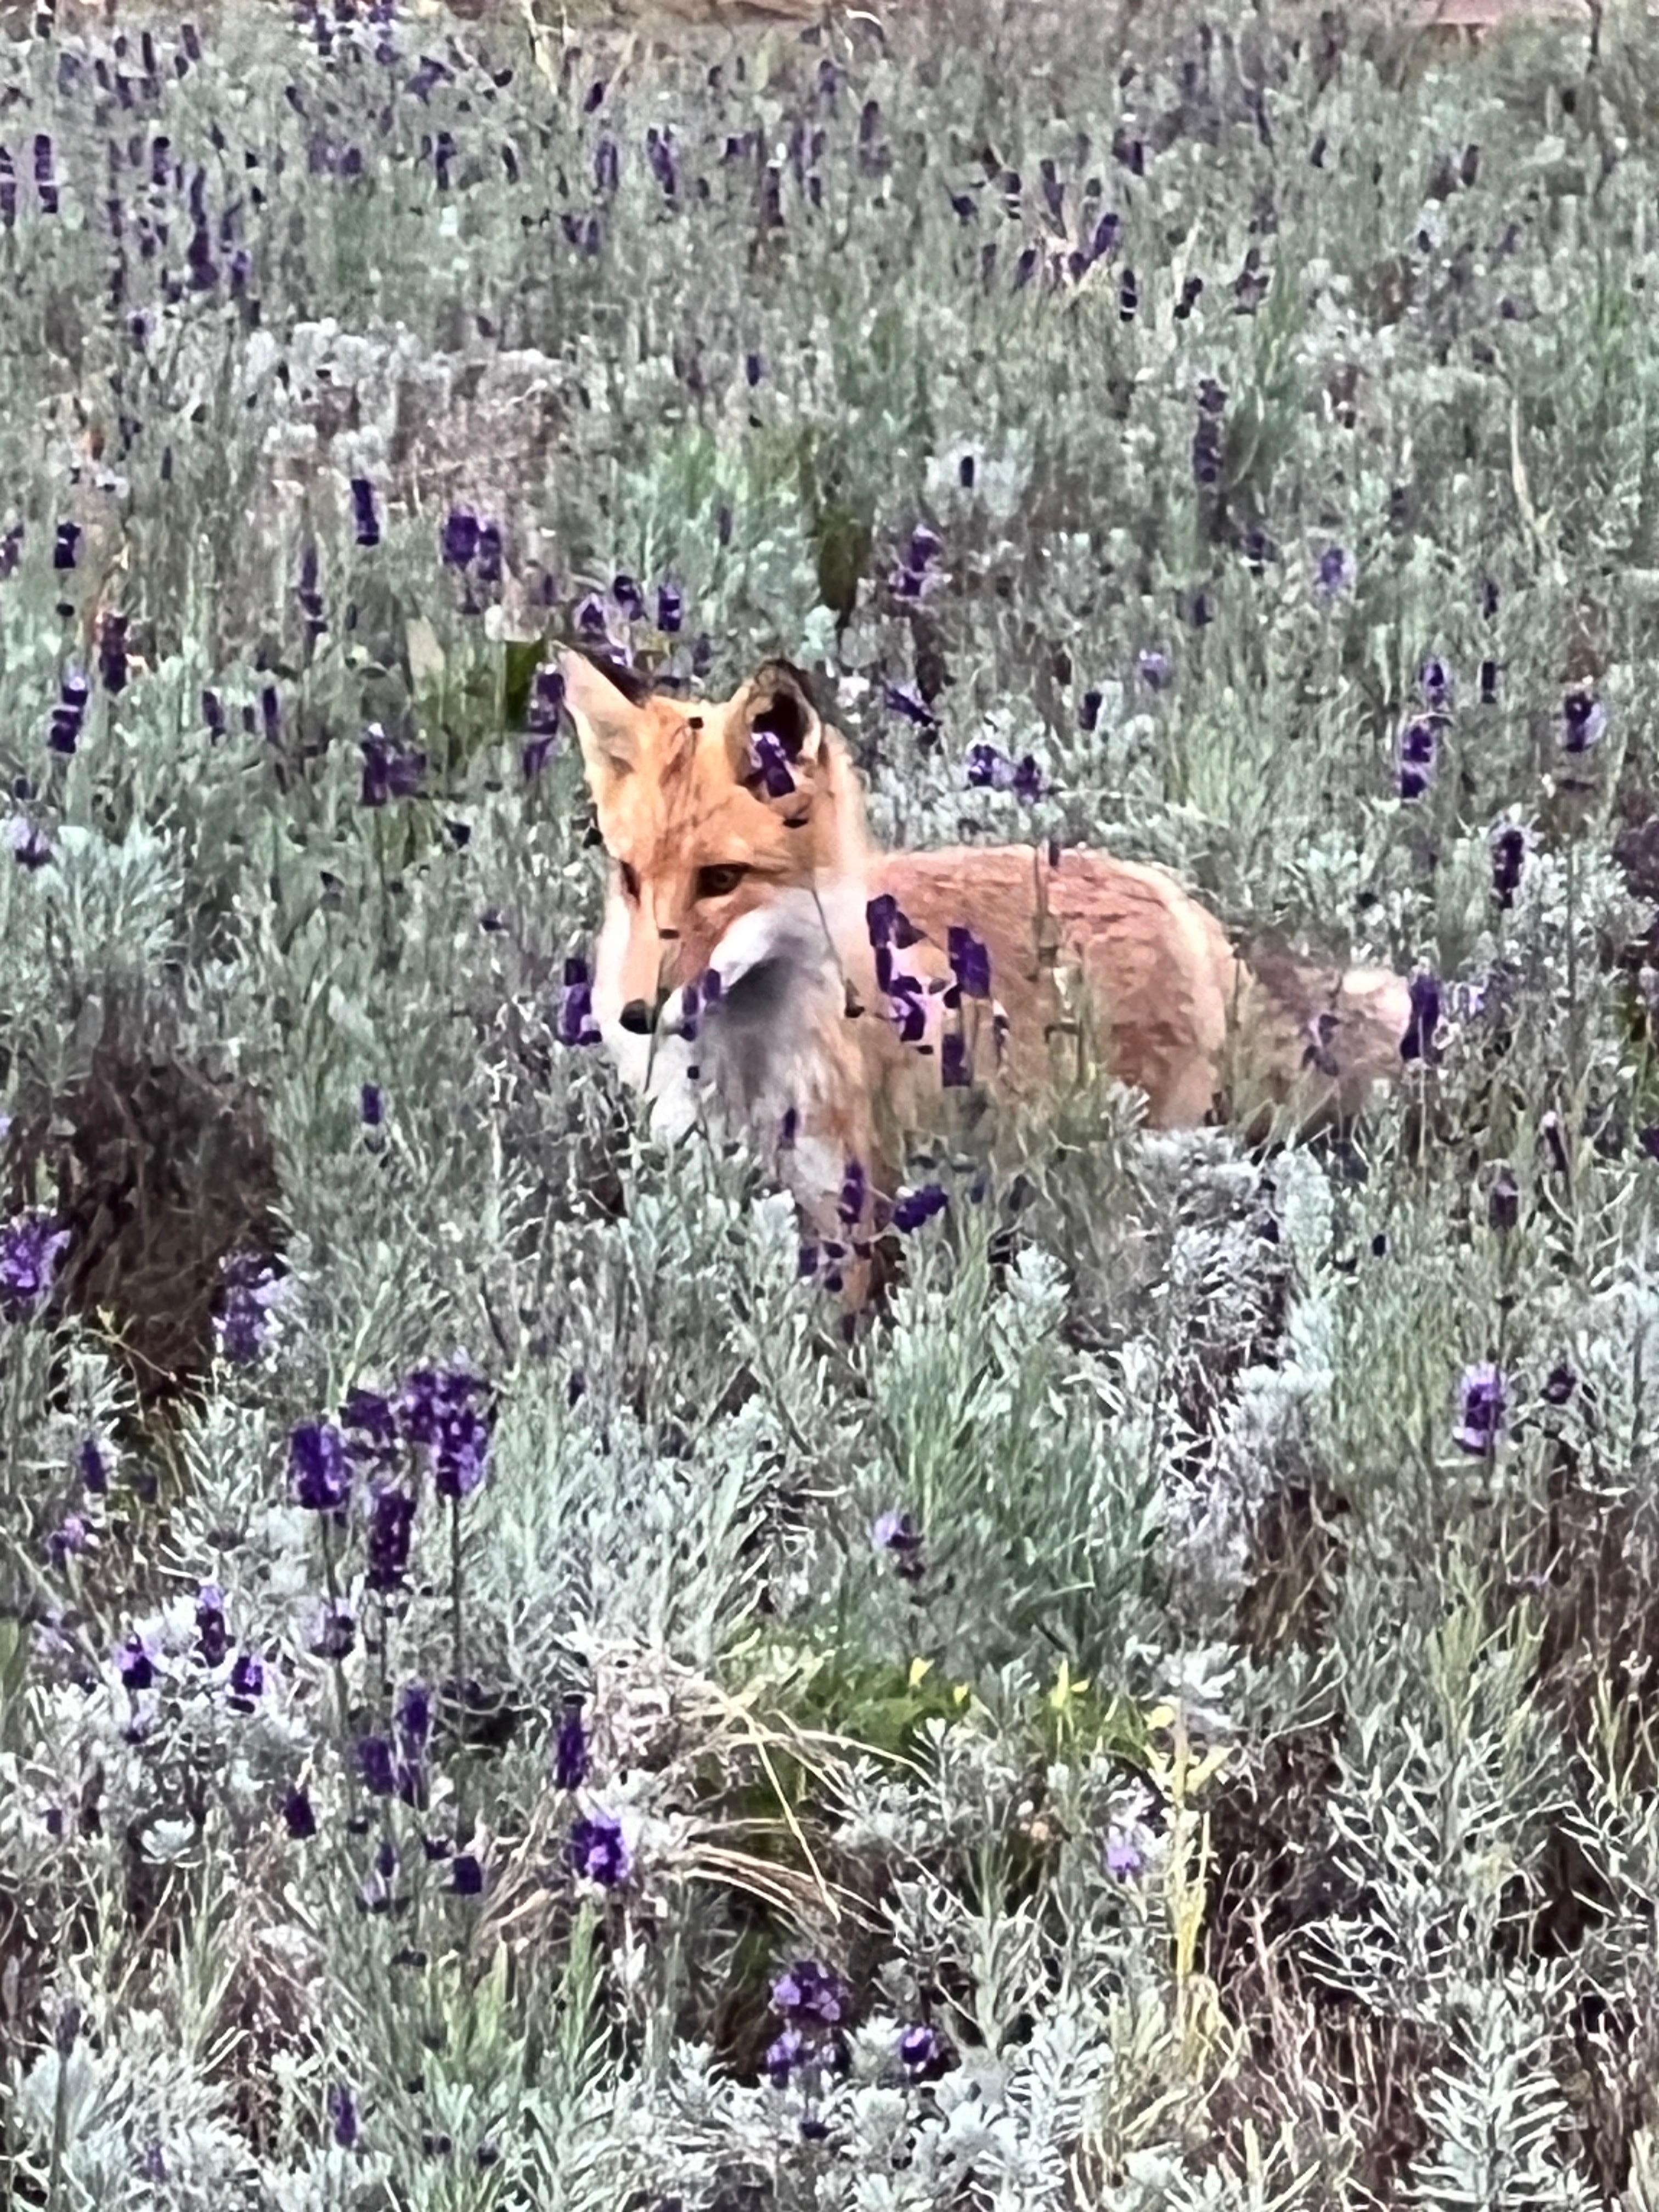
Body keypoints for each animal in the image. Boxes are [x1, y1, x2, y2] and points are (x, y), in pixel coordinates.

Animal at [571, 646, 1415, 1291]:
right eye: (631, 878)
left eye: (720, 880)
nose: (636, 1015)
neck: (743, 1065)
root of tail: (1179, 900)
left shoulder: (846, 1211)